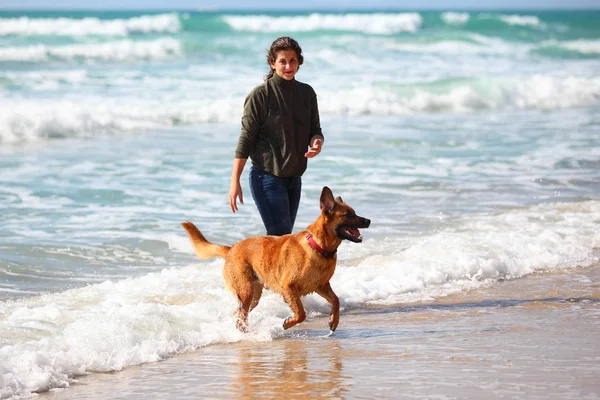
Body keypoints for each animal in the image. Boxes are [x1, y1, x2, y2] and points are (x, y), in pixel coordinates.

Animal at [182, 186, 370, 332]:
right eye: (348, 215)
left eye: (354, 213)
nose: (368, 220)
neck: (319, 247)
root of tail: (231, 248)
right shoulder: (289, 287)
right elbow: (301, 313)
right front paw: (288, 323)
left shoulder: (321, 286)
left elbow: (336, 301)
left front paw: (334, 321)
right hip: (246, 292)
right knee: (241, 316)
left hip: (253, 296)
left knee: (238, 314)